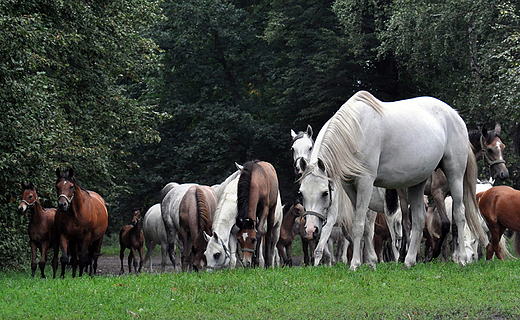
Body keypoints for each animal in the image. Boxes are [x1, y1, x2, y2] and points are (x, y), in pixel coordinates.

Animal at [296, 90, 488, 270]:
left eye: (325, 193)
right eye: (302, 193)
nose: (311, 230)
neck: (354, 133)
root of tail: (455, 115)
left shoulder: (365, 182)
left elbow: (358, 225)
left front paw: (355, 264)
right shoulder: (350, 187)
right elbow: (366, 228)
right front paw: (371, 262)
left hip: (455, 174)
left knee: (459, 214)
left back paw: (461, 258)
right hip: (417, 183)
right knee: (418, 219)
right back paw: (409, 261)